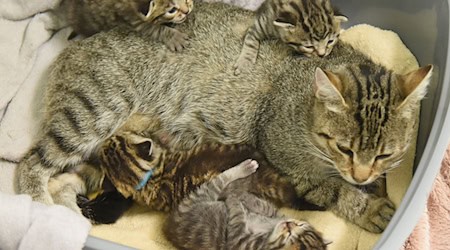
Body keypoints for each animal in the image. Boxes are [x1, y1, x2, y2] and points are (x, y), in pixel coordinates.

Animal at [163, 160, 328, 250]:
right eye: (300, 225)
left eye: (290, 237)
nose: (289, 224)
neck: (270, 230)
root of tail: (169, 225)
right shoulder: (276, 214)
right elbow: (263, 206)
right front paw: (244, 198)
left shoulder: (239, 240)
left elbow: (238, 215)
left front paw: (235, 200)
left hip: (203, 193)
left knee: (222, 179)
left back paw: (241, 173)